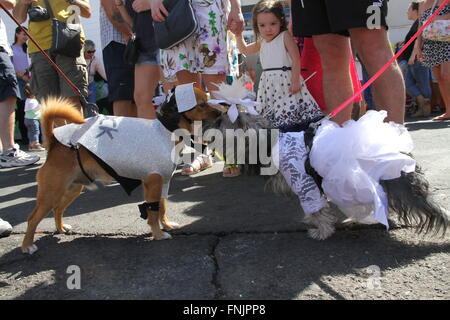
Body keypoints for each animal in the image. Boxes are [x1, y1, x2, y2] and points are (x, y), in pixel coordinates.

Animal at [22, 89, 220, 254]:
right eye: (202, 105)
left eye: (208, 99)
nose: (220, 111)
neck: (167, 130)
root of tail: (55, 143)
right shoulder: (153, 183)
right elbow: (153, 213)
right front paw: (158, 234)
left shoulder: (163, 183)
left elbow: (162, 207)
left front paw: (166, 224)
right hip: (50, 193)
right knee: (32, 219)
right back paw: (27, 246)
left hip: (73, 189)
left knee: (57, 209)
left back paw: (61, 228)